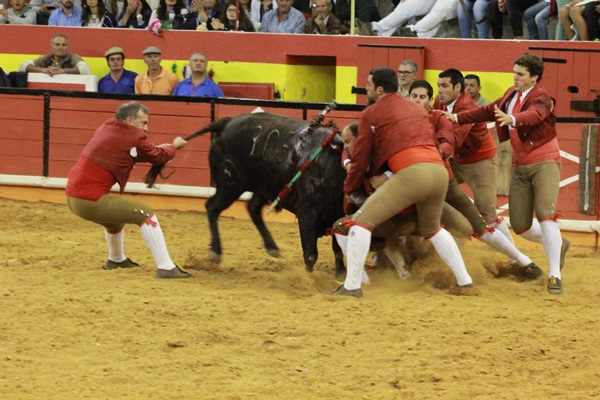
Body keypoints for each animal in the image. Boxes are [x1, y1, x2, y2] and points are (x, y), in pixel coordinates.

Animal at [147, 112, 347, 276]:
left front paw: (341, 274)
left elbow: (338, 249)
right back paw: (216, 251)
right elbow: (311, 253)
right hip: (230, 186)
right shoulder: (307, 213)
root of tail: (227, 122)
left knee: (252, 209)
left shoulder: (336, 217)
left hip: (262, 186)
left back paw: (271, 247)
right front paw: (310, 279)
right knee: (212, 207)